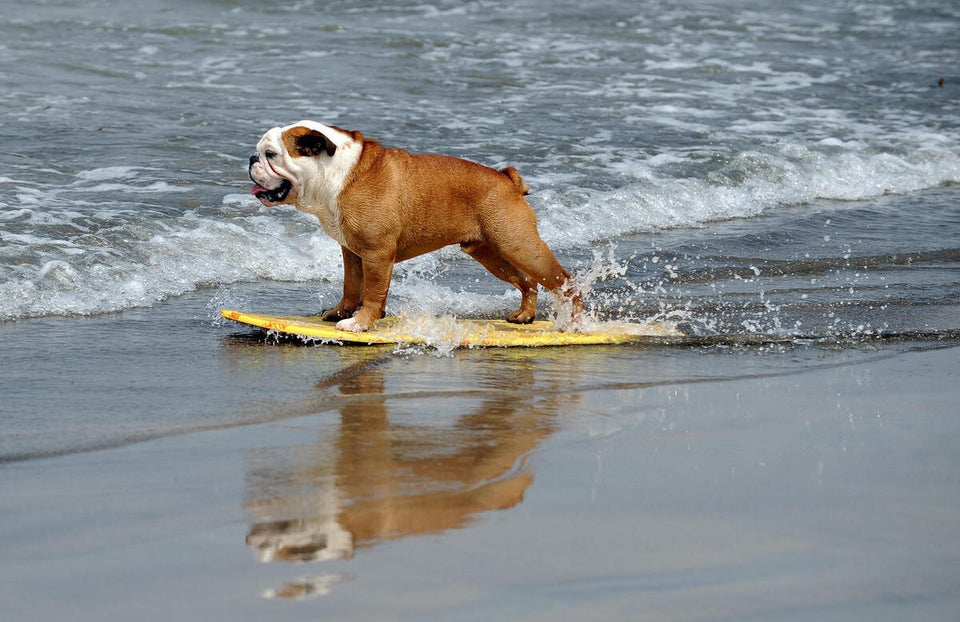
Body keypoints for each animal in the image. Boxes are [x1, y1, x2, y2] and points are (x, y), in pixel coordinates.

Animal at [251, 123, 580, 336]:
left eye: (271, 154)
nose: (252, 158)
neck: (336, 173)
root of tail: (507, 179)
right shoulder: (352, 253)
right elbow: (351, 286)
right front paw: (342, 312)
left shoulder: (377, 254)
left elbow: (372, 292)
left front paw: (360, 323)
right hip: (492, 253)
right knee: (527, 280)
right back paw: (526, 316)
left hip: (518, 245)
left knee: (564, 280)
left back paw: (575, 325)